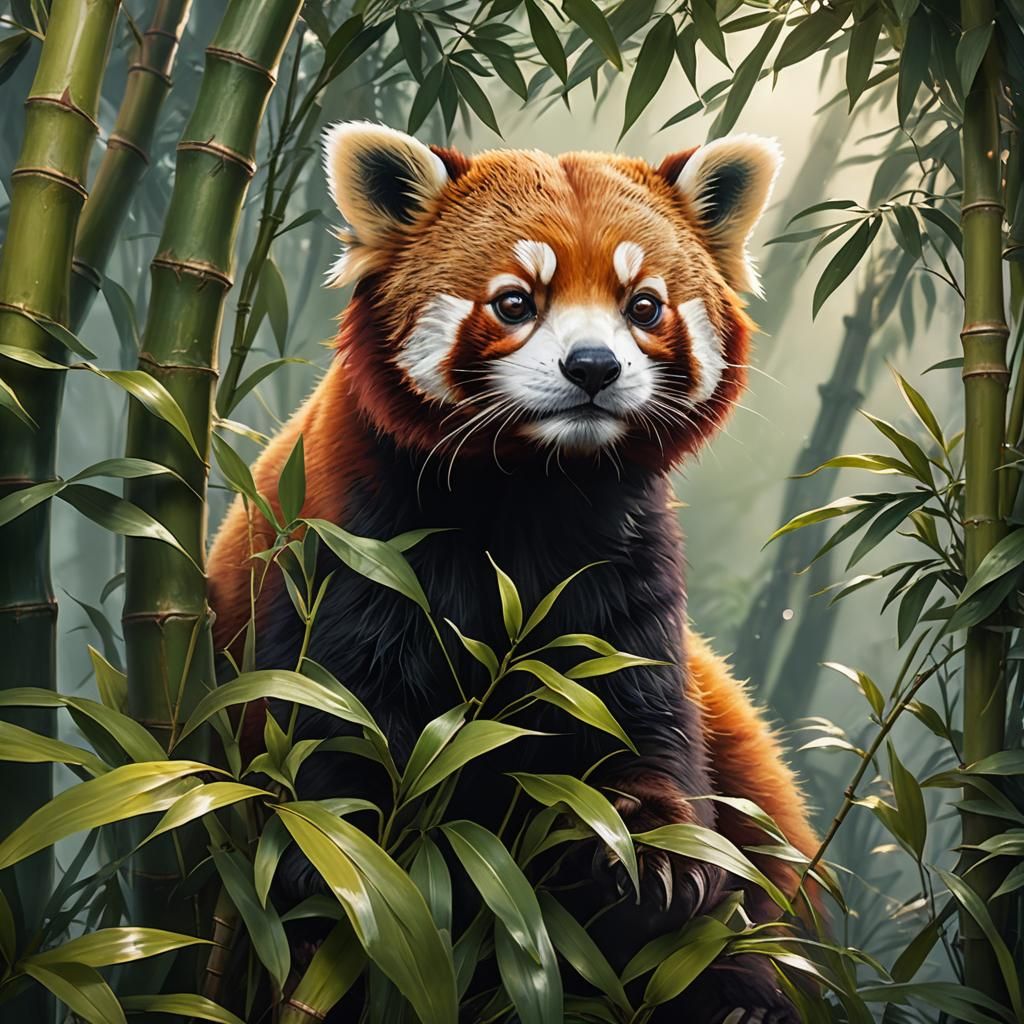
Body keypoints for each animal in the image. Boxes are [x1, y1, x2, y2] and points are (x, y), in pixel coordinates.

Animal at [207, 122, 817, 1022]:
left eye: (643, 306)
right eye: (516, 302)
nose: (593, 367)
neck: (538, 486)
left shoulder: (626, 569)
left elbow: (644, 721)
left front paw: (658, 855)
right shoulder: (348, 547)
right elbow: (331, 720)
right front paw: (360, 870)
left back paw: (742, 993)